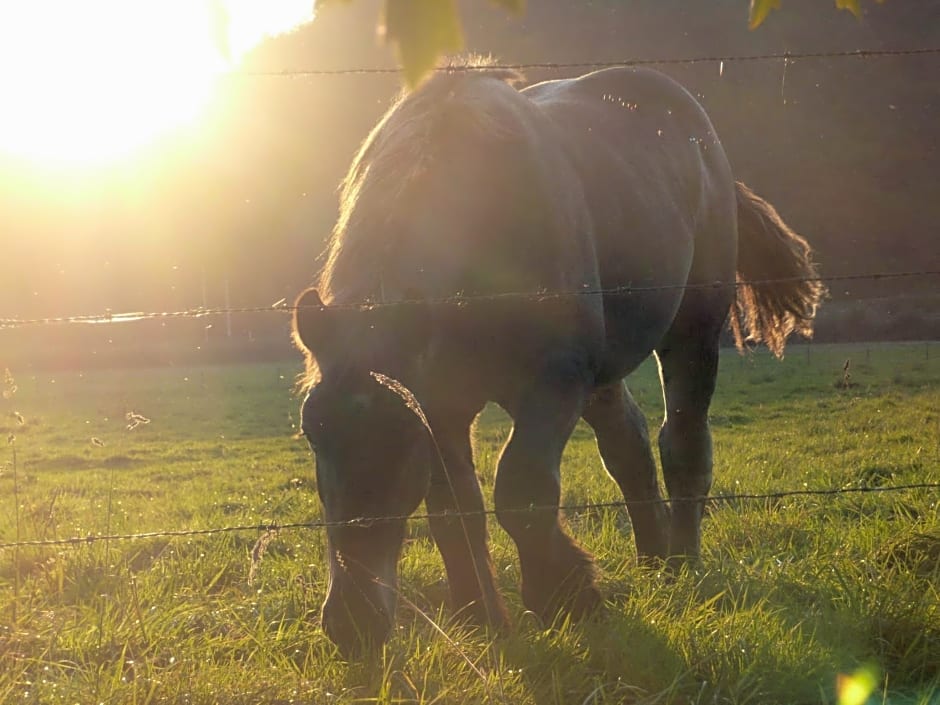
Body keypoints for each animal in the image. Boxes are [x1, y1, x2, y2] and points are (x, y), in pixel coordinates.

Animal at [292, 66, 824, 656]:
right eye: (312, 433)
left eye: (397, 440)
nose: (352, 623)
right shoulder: (442, 407)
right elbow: (455, 510)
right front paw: (482, 616)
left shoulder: (553, 382)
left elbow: (522, 492)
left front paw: (567, 596)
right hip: (603, 377)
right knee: (629, 447)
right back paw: (652, 558)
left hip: (691, 334)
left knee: (682, 443)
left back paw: (680, 567)